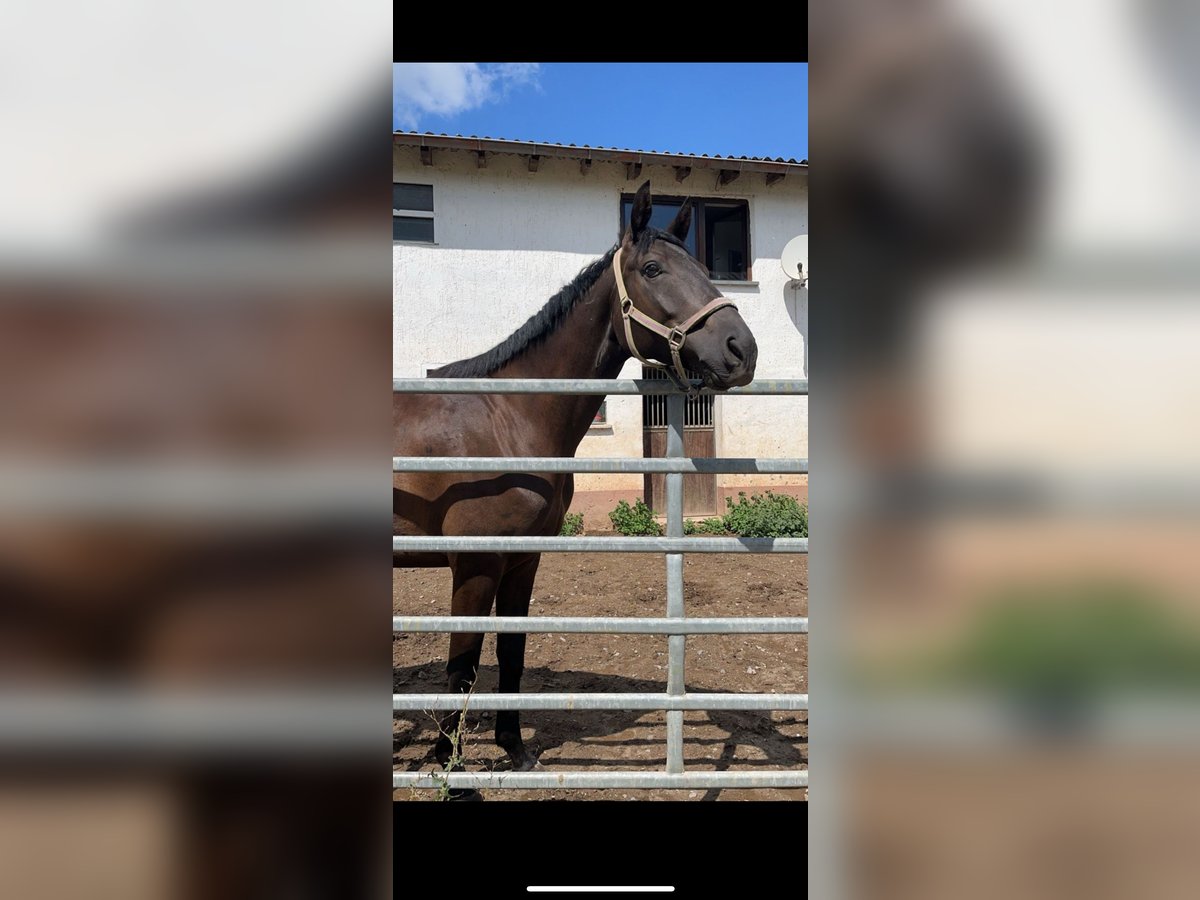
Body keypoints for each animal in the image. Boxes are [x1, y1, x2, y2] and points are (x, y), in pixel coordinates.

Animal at [393, 183, 753, 777]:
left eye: (705, 267)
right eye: (652, 269)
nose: (741, 349)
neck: (509, 417)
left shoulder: (522, 559)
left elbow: (510, 655)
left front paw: (514, 749)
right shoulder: (474, 564)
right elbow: (461, 666)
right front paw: (450, 766)